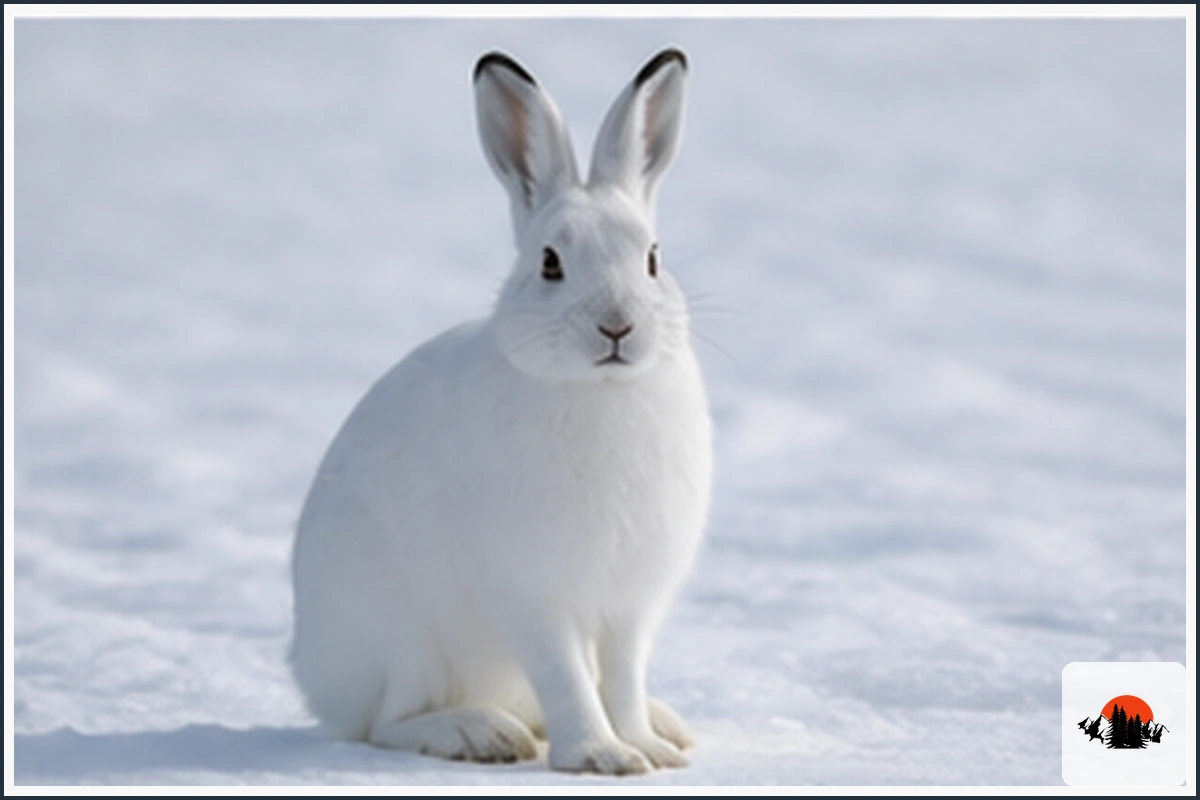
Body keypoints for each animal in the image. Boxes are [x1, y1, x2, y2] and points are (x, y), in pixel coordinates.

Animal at [290, 47, 712, 776]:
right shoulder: (531, 591)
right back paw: (476, 734)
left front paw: (647, 750)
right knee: (386, 722)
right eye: (550, 263)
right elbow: (566, 676)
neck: (601, 392)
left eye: (654, 259)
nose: (618, 327)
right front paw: (600, 756)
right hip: (406, 639)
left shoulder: (631, 603)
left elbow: (622, 679)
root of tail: (315, 674)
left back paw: (664, 724)